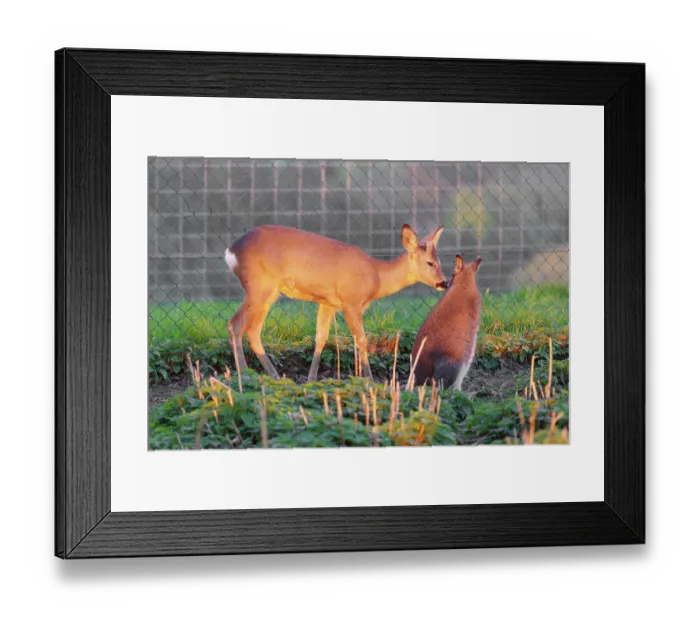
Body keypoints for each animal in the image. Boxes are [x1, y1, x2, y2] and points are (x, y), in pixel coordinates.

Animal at [224, 223, 448, 382]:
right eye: (430, 263)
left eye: (440, 261)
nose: (444, 282)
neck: (377, 276)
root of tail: (231, 252)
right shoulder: (351, 302)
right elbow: (362, 339)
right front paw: (369, 379)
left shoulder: (328, 303)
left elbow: (321, 338)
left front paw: (311, 379)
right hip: (260, 287)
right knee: (235, 324)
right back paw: (245, 375)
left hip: (269, 293)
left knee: (253, 330)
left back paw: (275, 376)